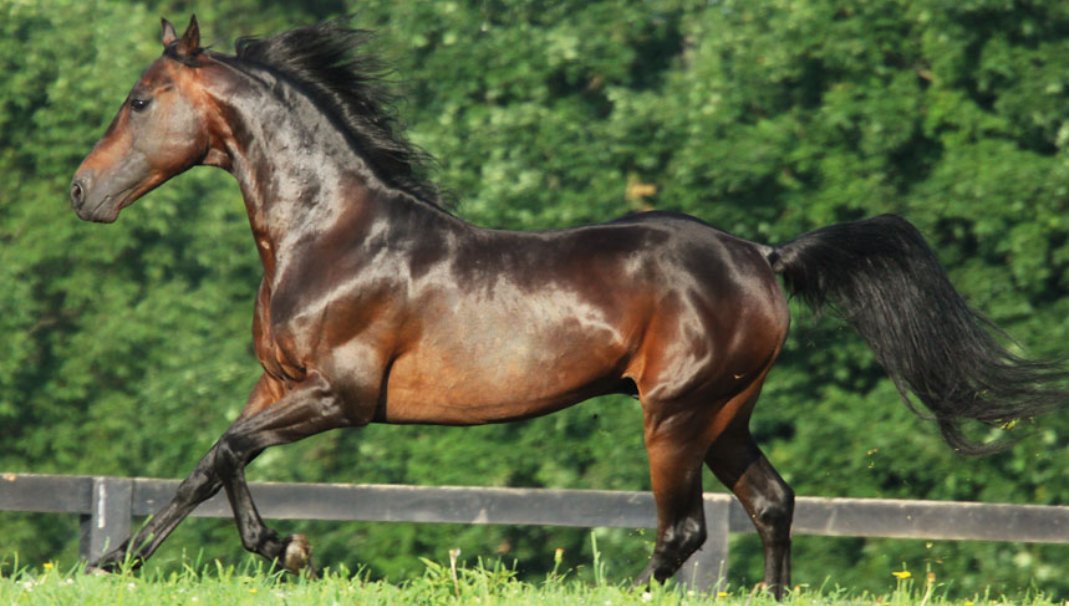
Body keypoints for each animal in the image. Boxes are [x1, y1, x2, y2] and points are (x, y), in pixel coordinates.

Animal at [69, 16, 1066, 597]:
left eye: (140, 99)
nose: (81, 192)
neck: (328, 234)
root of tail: (761, 256)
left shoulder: (339, 397)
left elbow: (225, 452)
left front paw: (266, 551)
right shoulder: (278, 384)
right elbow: (214, 460)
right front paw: (135, 558)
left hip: (676, 414)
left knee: (684, 530)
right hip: (725, 414)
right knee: (771, 504)